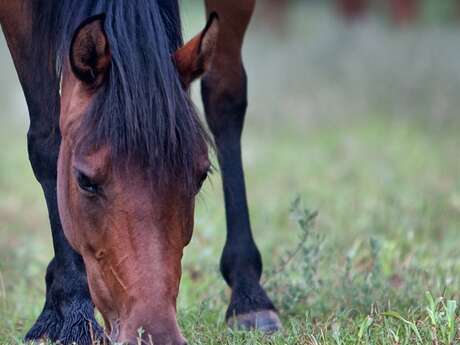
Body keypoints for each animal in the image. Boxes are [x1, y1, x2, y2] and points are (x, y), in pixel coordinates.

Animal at [0, 0, 282, 344]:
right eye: (85, 181)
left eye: (201, 176)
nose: (155, 334)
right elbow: (47, 136)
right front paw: (74, 311)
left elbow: (224, 98)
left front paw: (249, 297)